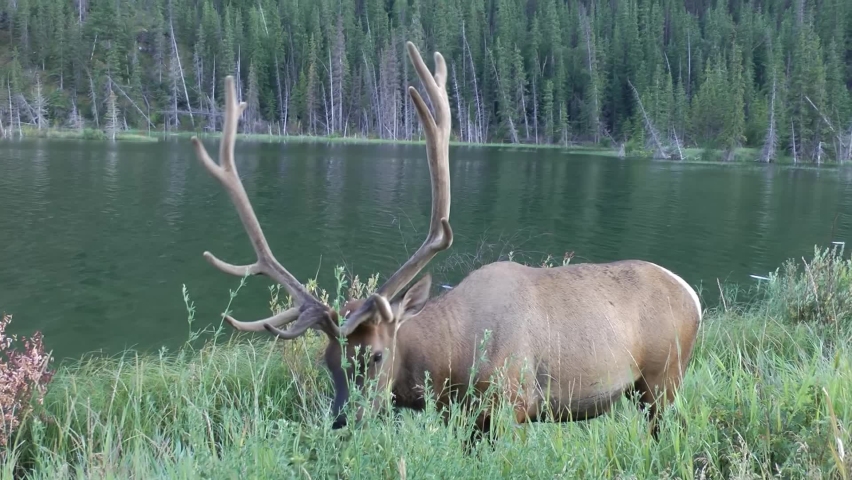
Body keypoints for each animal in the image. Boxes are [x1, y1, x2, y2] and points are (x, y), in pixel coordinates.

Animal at [189, 41, 703, 443]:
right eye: (328, 360)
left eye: (376, 355)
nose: (342, 421)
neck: (451, 364)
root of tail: (693, 296)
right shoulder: (467, 421)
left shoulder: (513, 405)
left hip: (664, 380)